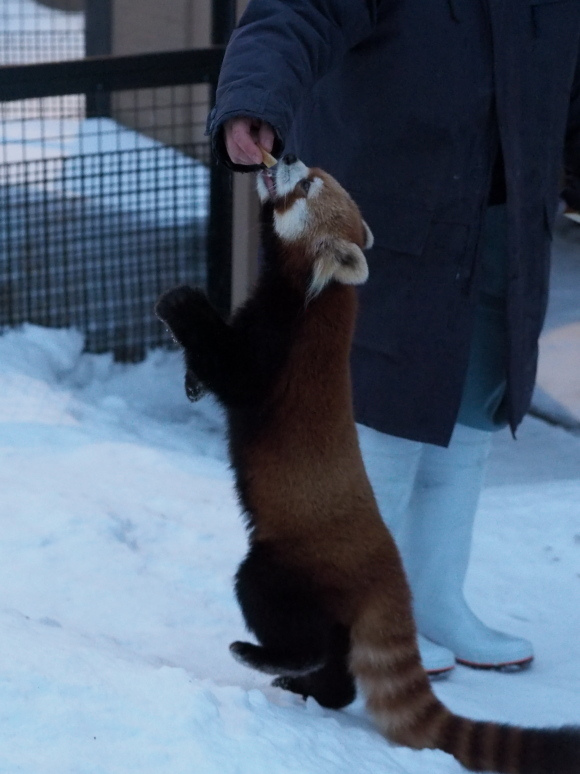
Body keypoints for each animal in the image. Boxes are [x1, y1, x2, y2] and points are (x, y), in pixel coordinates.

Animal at [155, 155, 580, 772]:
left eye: (307, 185)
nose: (284, 155)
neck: (315, 292)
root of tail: (389, 572)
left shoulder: (281, 352)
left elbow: (235, 376)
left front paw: (182, 305)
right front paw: (189, 375)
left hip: (295, 564)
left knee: (273, 605)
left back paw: (269, 657)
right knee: (337, 654)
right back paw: (313, 688)